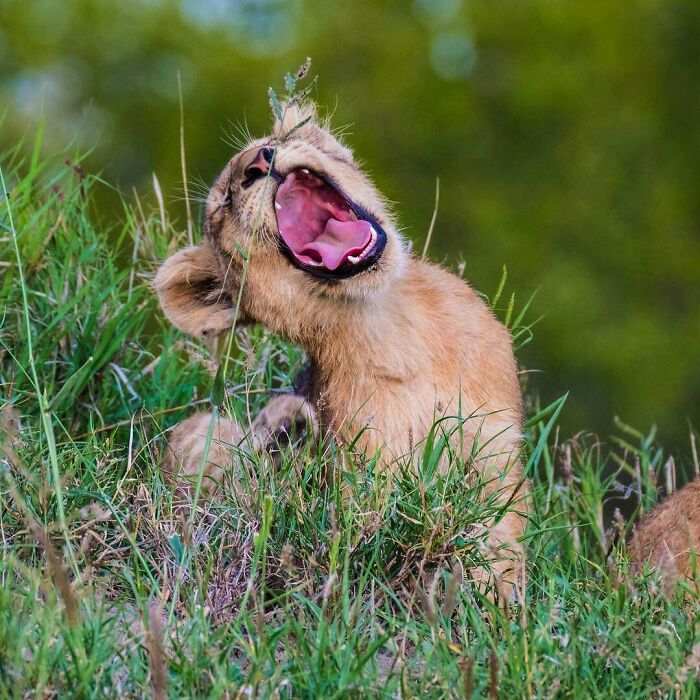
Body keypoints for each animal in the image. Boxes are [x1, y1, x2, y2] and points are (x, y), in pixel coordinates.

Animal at [155, 102, 529, 602]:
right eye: (224, 205)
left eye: (270, 144)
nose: (257, 164)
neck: (389, 323)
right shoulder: (368, 478)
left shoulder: (495, 452)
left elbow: (501, 543)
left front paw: (505, 609)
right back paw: (286, 431)